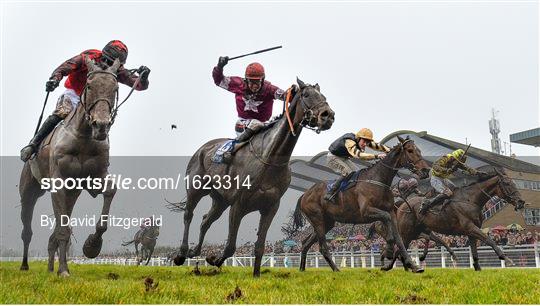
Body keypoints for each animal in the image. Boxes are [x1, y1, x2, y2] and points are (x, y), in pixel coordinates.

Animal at [19, 58, 121, 278]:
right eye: (89, 86)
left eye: (115, 88)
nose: (101, 125)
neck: (83, 136)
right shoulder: (59, 182)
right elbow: (63, 229)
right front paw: (64, 270)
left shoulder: (94, 177)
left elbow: (110, 191)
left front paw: (92, 245)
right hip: (29, 192)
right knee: (27, 230)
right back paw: (25, 265)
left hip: (72, 193)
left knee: (55, 231)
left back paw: (51, 268)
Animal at [172, 77, 334, 276]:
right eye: (306, 95)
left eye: (323, 96)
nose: (328, 115)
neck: (269, 159)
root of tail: (202, 149)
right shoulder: (238, 205)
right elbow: (230, 247)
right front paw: (214, 259)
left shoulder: (270, 207)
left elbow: (259, 246)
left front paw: (255, 274)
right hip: (196, 189)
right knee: (189, 214)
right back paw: (182, 253)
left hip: (220, 200)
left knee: (205, 221)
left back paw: (195, 251)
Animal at [292, 136, 430, 272]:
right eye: (410, 150)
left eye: (419, 150)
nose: (426, 170)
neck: (377, 179)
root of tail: (304, 195)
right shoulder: (366, 212)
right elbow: (386, 221)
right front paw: (389, 250)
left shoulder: (391, 212)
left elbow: (399, 240)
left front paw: (414, 266)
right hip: (318, 219)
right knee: (322, 247)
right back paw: (336, 270)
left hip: (327, 222)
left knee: (305, 243)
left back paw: (302, 269)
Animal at [380, 169, 524, 272]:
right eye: (507, 183)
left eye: (515, 183)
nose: (521, 202)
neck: (470, 200)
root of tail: (402, 205)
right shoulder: (470, 227)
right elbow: (489, 240)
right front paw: (507, 259)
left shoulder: (471, 232)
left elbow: (474, 249)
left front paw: (477, 268)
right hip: (407, 232)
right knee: (399, 248)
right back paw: (390, 266)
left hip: (415, 232)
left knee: (402, 248)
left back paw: (404, 267)